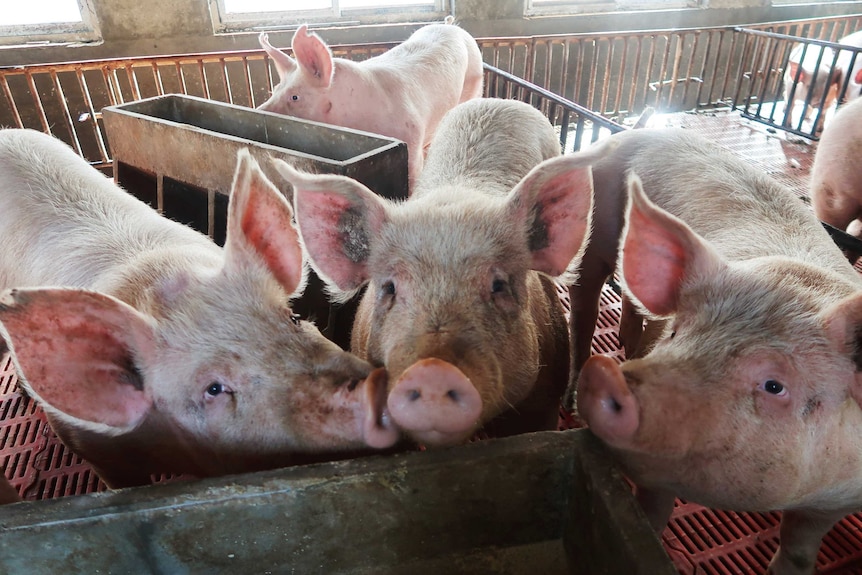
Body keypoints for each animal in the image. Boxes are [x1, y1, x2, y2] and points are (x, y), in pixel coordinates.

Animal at [572, 127, 862, 575]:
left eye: (774, 385)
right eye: (676, 333)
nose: (608, 375)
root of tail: (640, 130)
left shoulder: (839, 497)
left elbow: (799, 548)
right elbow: (651, 517)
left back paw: (627, 344)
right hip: (594, 224)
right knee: (585, 302)